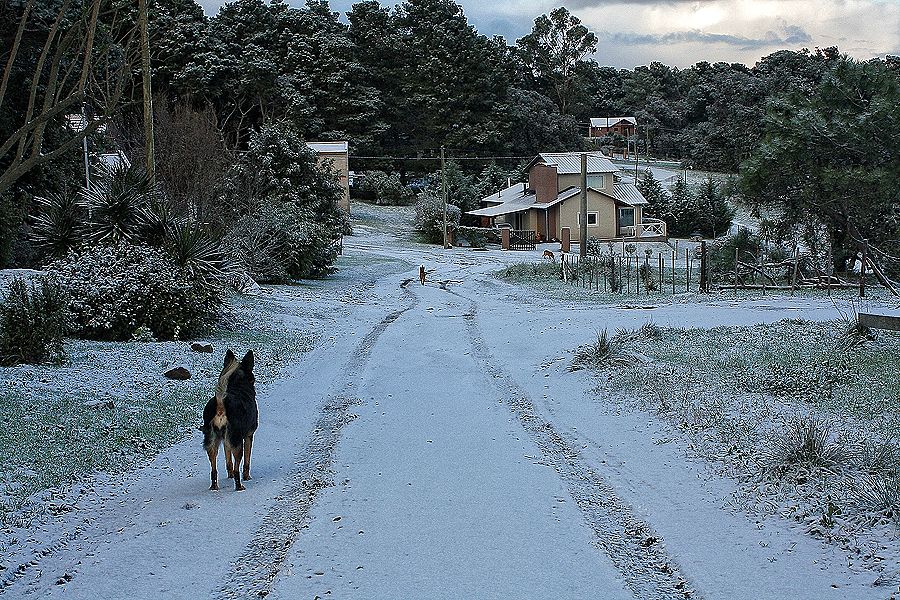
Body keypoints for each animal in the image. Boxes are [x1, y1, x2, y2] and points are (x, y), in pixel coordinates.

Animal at [203, 350, 258, 490]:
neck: (238, 383)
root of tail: (221, 406)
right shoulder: (249, 435)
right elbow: (247, 461)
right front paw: (247, 477)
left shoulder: (226, 440)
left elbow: (228, 461)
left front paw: (229, 475)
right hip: (237, 440)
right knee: (238, 466)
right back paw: (239, 486)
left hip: (213, 440)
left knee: (213, 469)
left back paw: (214, 486)